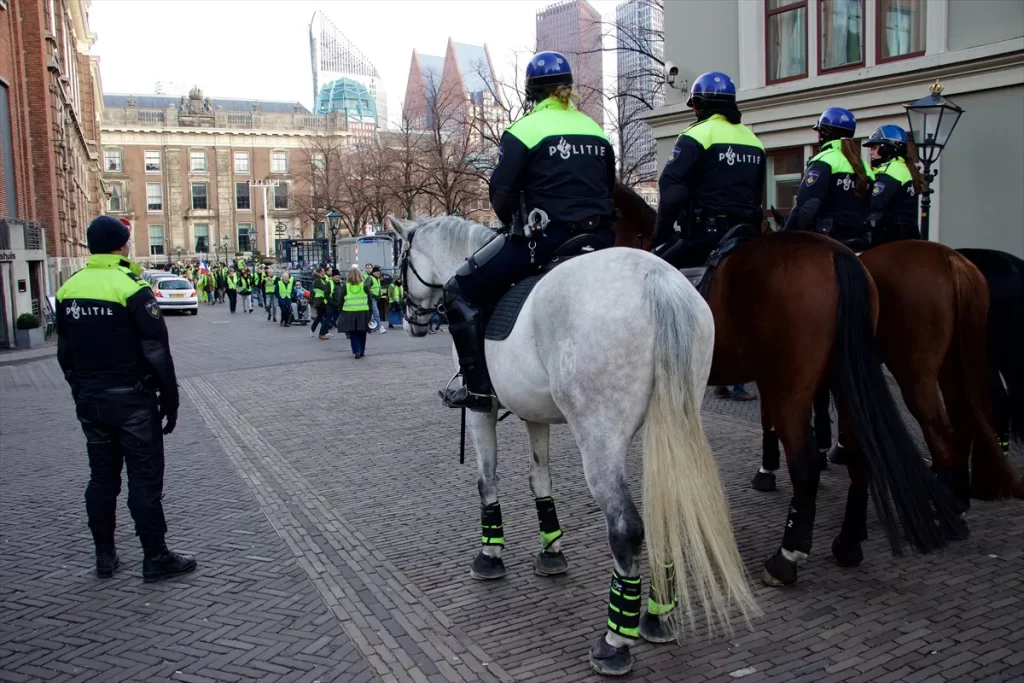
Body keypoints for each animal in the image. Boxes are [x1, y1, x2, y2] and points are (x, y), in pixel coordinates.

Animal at [610, 183, 962, 589]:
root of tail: (838, 256)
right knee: (864, 453)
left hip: (815, 386)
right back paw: (850, 541)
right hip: (844, 382)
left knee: (809, 464)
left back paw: (788, 555)